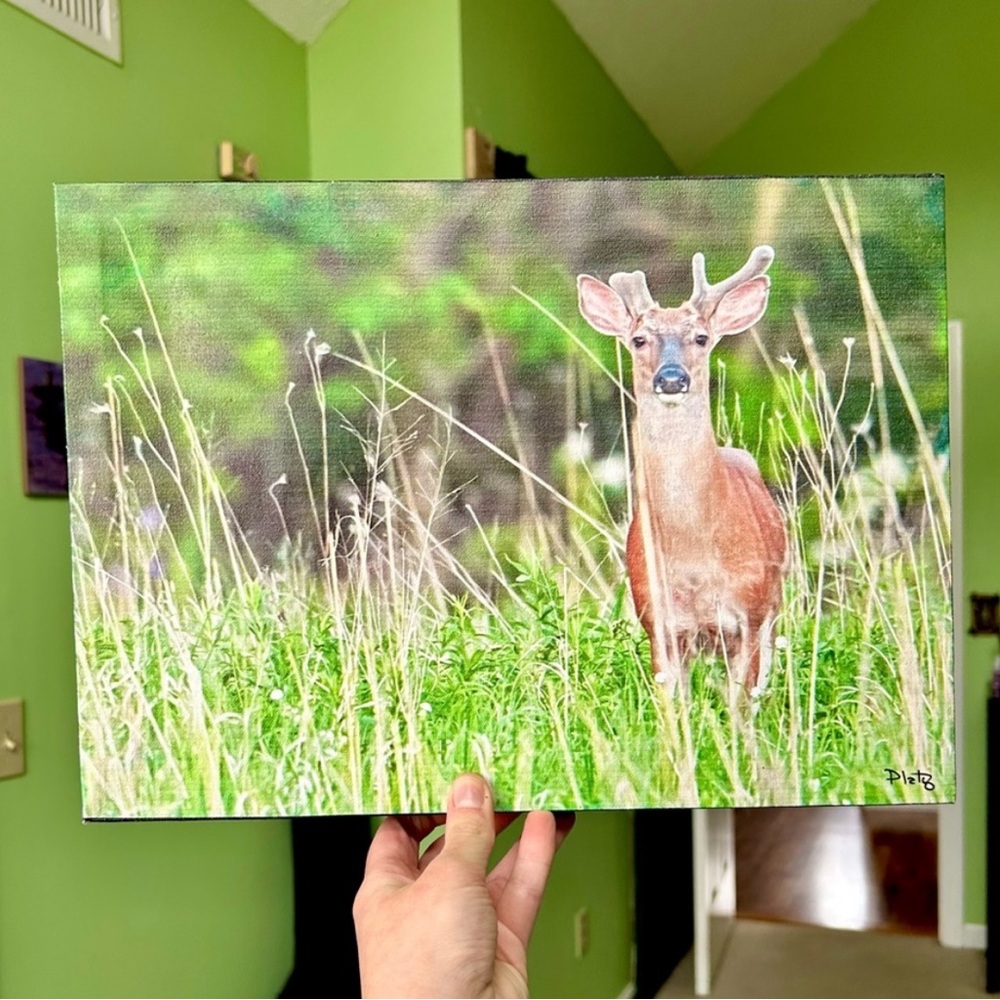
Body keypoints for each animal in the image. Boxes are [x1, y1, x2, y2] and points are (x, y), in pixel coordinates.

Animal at [577, 246, 787, 696]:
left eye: (701, 337)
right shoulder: (658, 622)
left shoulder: (750, 613)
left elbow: (742, 704)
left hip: (773, 606)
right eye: (639, 339)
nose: (672, 378)